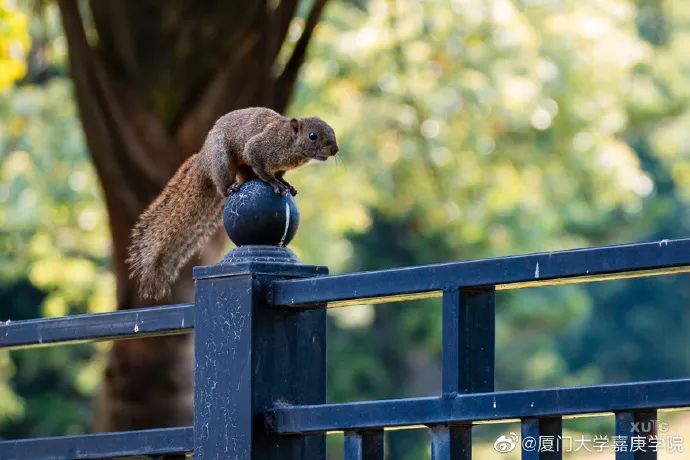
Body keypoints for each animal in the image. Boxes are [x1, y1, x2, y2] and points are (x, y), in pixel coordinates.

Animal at [126, 106, 338, 300]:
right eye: (312, 135)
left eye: (332, 130)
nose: (335, 149)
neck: (290, 143)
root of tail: (203, 158)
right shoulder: (258, 147)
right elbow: (262, 169)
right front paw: (274, 183)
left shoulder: (279, 166)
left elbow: (278, 174)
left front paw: (286, 184)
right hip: (221, 159)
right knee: (223, 181)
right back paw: (229, 188)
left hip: (241, 167)